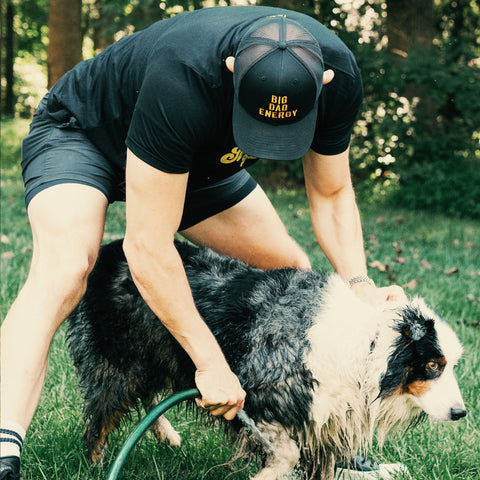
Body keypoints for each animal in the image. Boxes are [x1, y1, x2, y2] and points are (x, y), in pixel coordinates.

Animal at [67, 242, 464, 478]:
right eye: (433, 365)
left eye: (451, 365)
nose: (461, 412)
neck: (366, 345)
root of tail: (110, 249)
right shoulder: (254, 394)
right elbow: (285, 453)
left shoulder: (325, 421)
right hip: (116, 362)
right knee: (101, 419)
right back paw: (95, 465)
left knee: (148, 394)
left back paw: (167, 435)